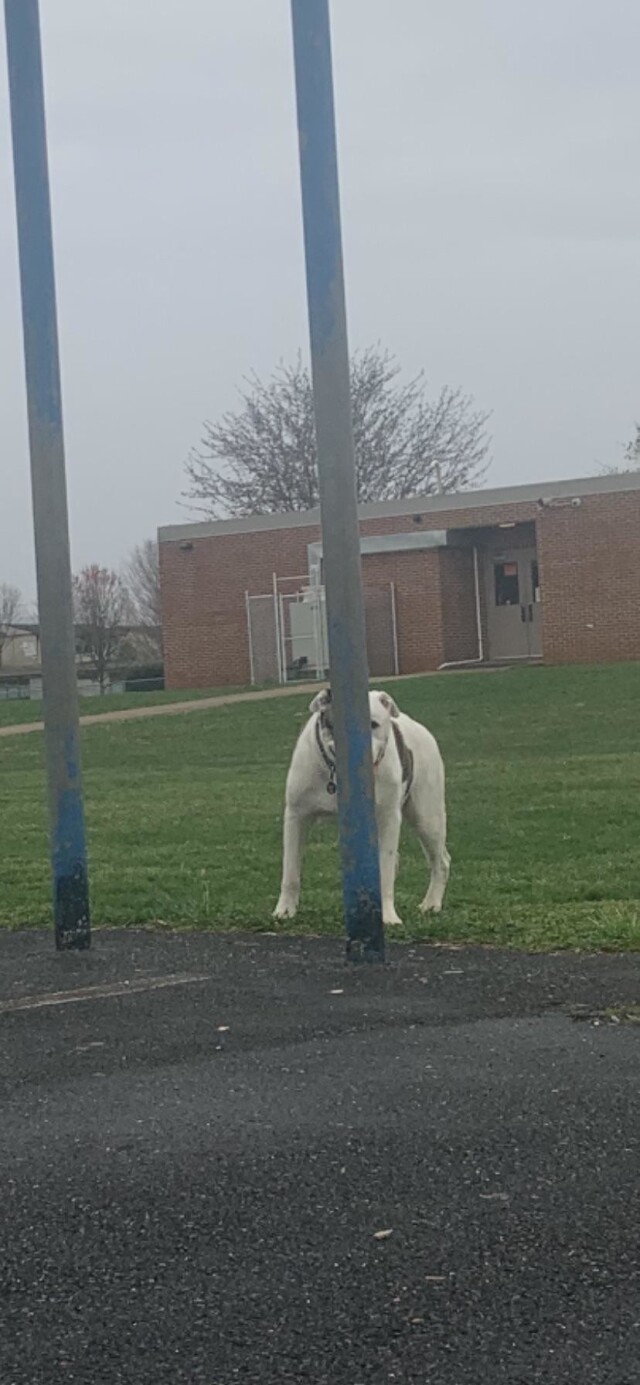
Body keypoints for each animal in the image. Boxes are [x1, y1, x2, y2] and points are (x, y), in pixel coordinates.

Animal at [275, 686, 448, 925]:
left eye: (373, 724)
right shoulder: (296, 816)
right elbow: (290, 870)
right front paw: (284, 910)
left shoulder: (388, 818)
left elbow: (385, 871)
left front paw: (388, 916)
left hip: (427, 817)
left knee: (441, 861)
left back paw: (431, 904)